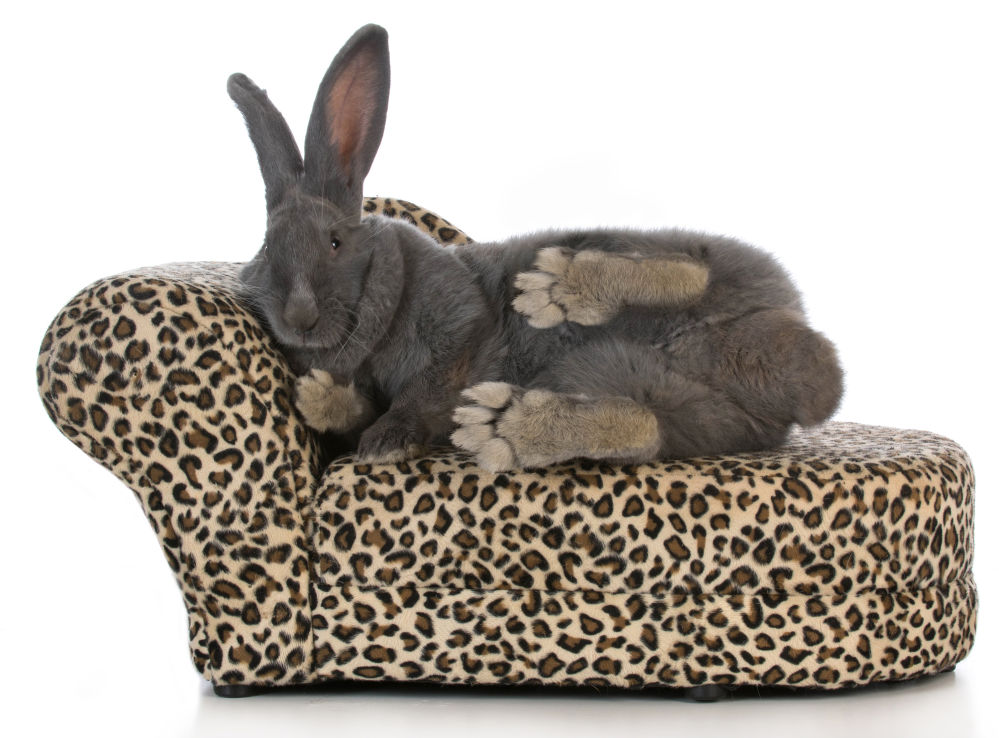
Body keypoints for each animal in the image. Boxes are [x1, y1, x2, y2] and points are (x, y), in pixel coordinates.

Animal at [230, 24, 843, 471]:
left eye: (334, 242)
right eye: (265, 251)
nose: (298, 317)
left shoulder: (459, 324)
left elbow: (424, 391)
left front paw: (387, 442)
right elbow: (361, 408)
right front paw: (319, 398)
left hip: (706, 262)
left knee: (692, 268)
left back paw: (559, 294)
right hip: (695, 416)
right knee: (644, 426)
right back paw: (510, 424)